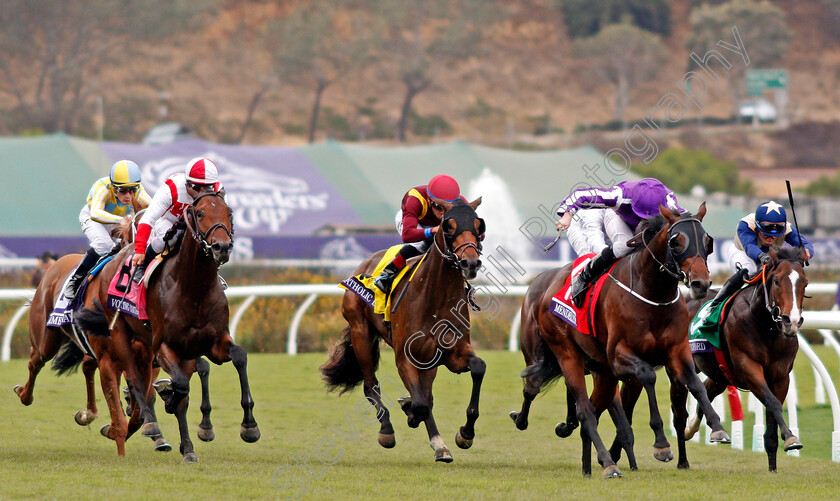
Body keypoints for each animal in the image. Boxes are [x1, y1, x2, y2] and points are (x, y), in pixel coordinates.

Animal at [76, 191, 260, 460]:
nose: (222, 247)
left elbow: (239, 357)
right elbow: (179, 387)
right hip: (119, 333)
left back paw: (186, 445)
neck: (194, 289)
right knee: (133, 376)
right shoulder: (163, 346)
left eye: (230, 212)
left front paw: (249, 426)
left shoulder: (213, 343)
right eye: (200, 213)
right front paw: (168, 400)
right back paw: (148, 421)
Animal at [324, 197, 492, 462]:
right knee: (371, 386)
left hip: (427, 361)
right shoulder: (405, 357)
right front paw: (410, 410)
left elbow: (477, 367)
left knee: (426, 393)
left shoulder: (452, 353)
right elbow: (421, 404)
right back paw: (387, 430)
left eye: (478, 225)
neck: (435, 298)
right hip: (361, 333)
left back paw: (439, 445)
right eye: (448, 226)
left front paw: (465, 434)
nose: (470, 262)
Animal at [516, 206, 724, 476]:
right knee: (578, 407)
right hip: (566, 355)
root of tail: (546, 290)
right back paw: (606, 462)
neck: (653, 294)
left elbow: (695, 384)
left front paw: (717, 427)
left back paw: (589, 462)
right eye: (677, 241)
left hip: (602, 372)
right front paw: (661, 444)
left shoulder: (676, 351)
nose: (701, 283)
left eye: (708, 242)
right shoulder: (619, 356)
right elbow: (648, 376)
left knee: (591, 410)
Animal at [684, 248, 812, 470]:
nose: (792, 322)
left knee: (707, 390)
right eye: (777, 281)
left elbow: (773, 417)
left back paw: (705, 429)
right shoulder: (748, 368)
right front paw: (791, 437)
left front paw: (773, 467)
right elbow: (773, 403)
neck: (765, 326)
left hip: (720, 373)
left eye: (804, 282)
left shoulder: (780, 377)